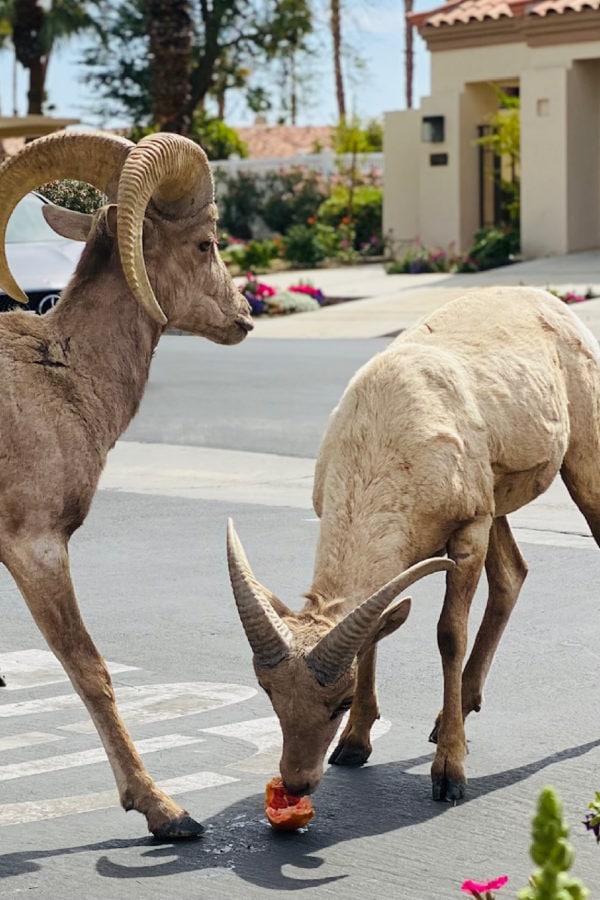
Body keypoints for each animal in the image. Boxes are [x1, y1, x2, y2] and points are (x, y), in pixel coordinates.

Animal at [0, 130, 252, 840]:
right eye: (206, 243)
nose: (245, 315)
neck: (65, 374)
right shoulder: (35, 547)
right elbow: (90, 668)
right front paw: (165, 812)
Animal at [229, 286, 600, 800]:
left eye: (340, 700)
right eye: (269, 692)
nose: (298, 782)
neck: (385, 437)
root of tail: (551, 302)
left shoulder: (468, 531)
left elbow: (448, 635)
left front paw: (450, 775)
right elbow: (375, 630)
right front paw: (354, 747)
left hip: (581, 457)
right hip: (498, 498)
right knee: (512, 574)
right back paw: (454, 713)